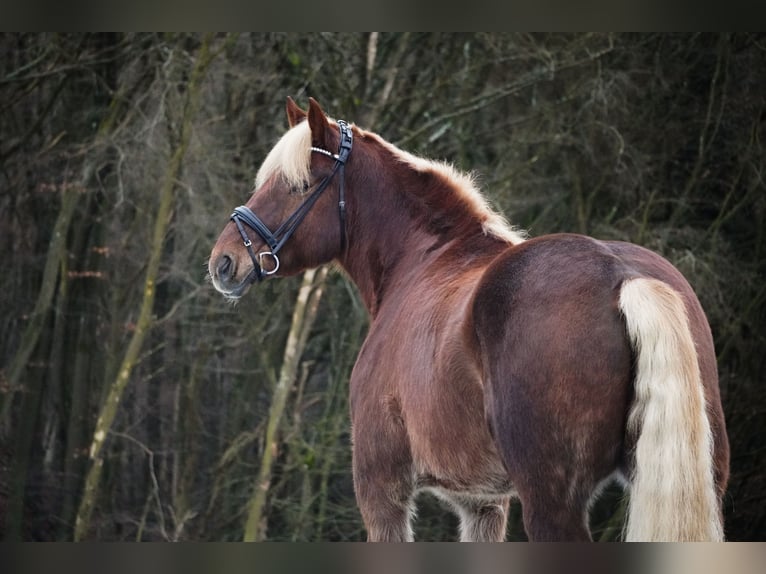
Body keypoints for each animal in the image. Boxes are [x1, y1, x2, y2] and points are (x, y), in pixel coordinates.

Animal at [210, 97, 732, 544]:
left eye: (296, 185)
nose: (224, 261)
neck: (421, 260)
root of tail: (623, 276)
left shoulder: (382, 490)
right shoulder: (483, 503)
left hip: (551, 502)